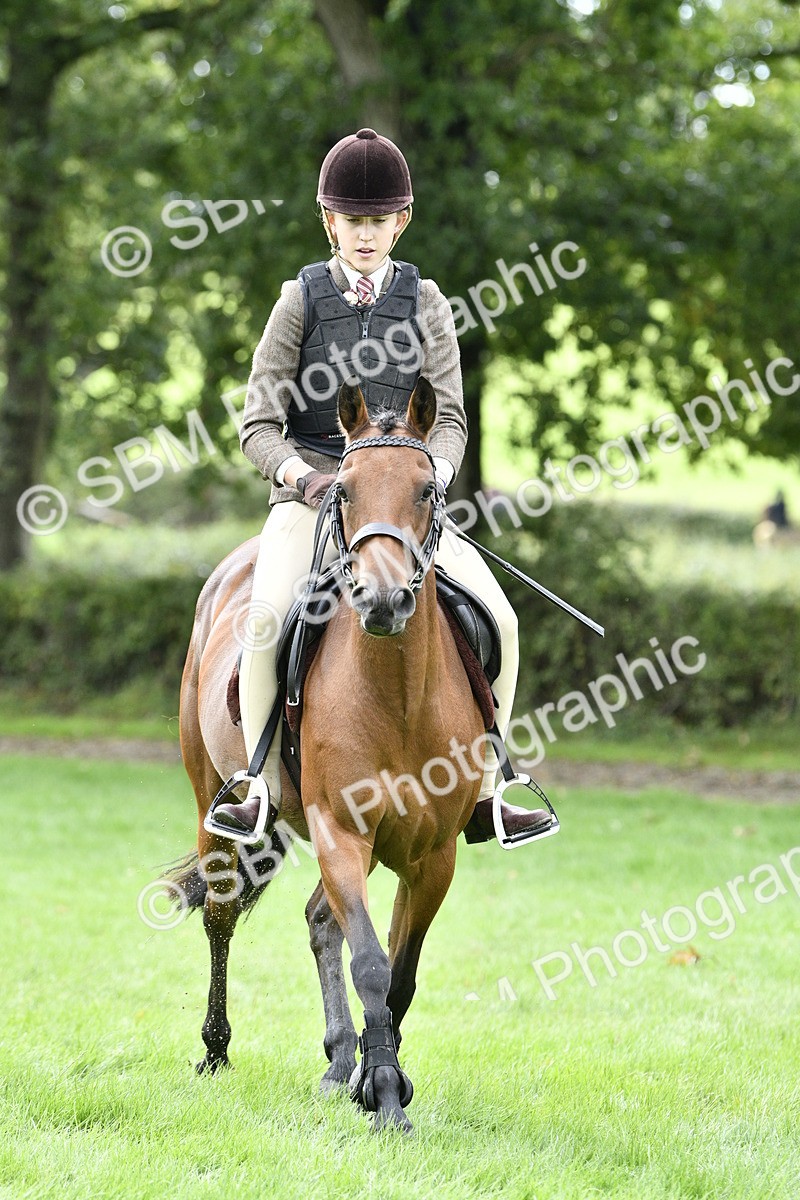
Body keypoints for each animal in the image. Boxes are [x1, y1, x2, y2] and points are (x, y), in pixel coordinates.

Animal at [168, 379, 485, 1133]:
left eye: (427, 489)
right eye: (342, 491)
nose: (383, 599)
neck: (398, 695)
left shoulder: (432, 854)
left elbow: (399, 972)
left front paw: (376, 1078)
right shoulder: (341, 830)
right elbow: (371, 961)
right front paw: (386, 1098)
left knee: (319, 919)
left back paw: (342, 1061)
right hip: (214, 796)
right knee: (222, 913)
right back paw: (216, 1051)